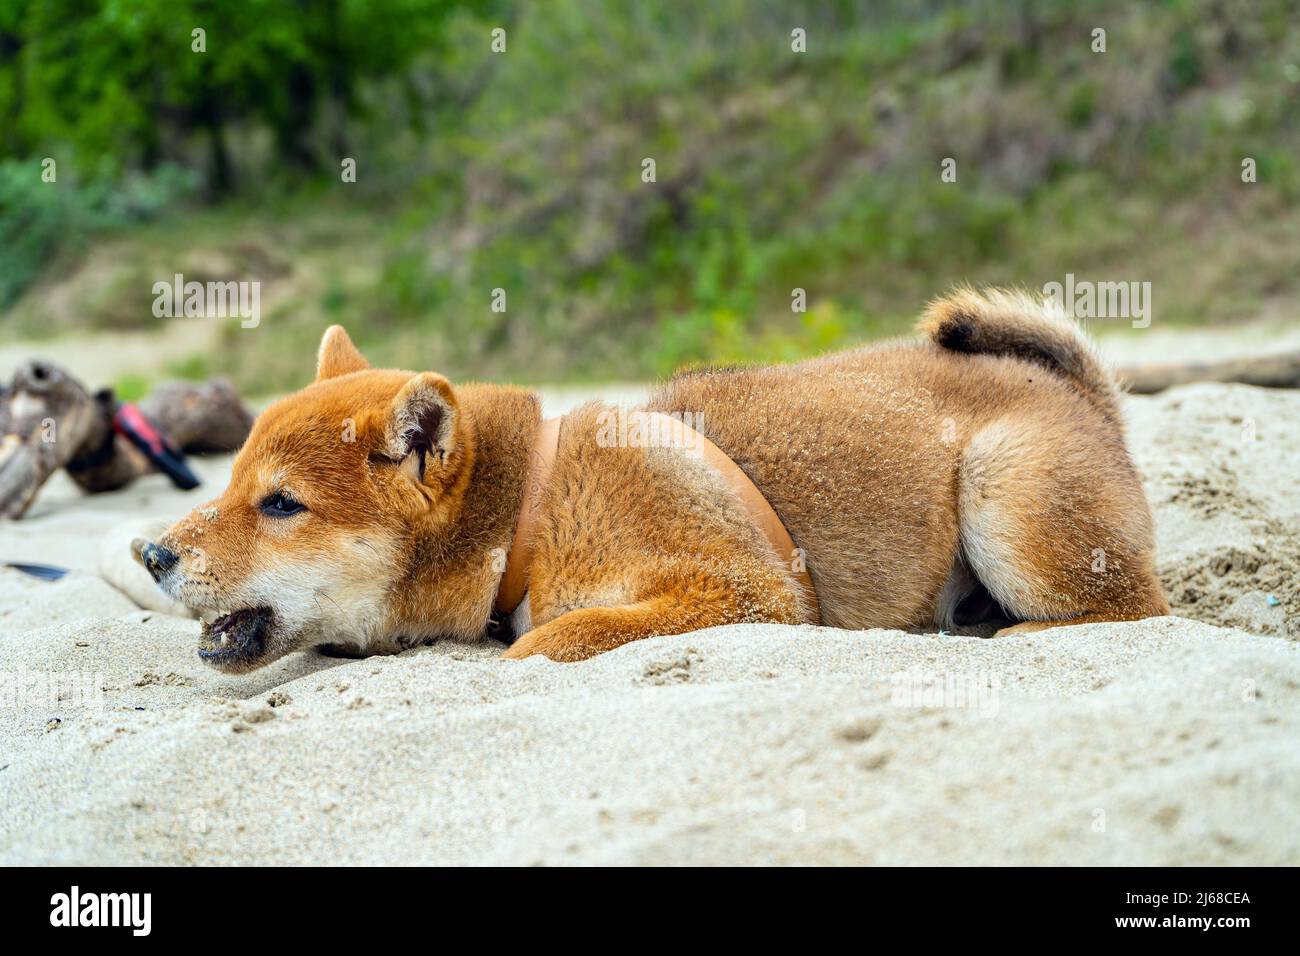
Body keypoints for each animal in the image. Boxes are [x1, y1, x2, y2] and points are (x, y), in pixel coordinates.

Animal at [139, 287, 1170, 671]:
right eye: (226, 485)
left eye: (281, 504)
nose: (149, 552)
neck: (531, 513)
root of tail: (1083, 393)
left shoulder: (747, 591)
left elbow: (542, 643)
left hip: (1003, 491)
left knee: (1138, 613)